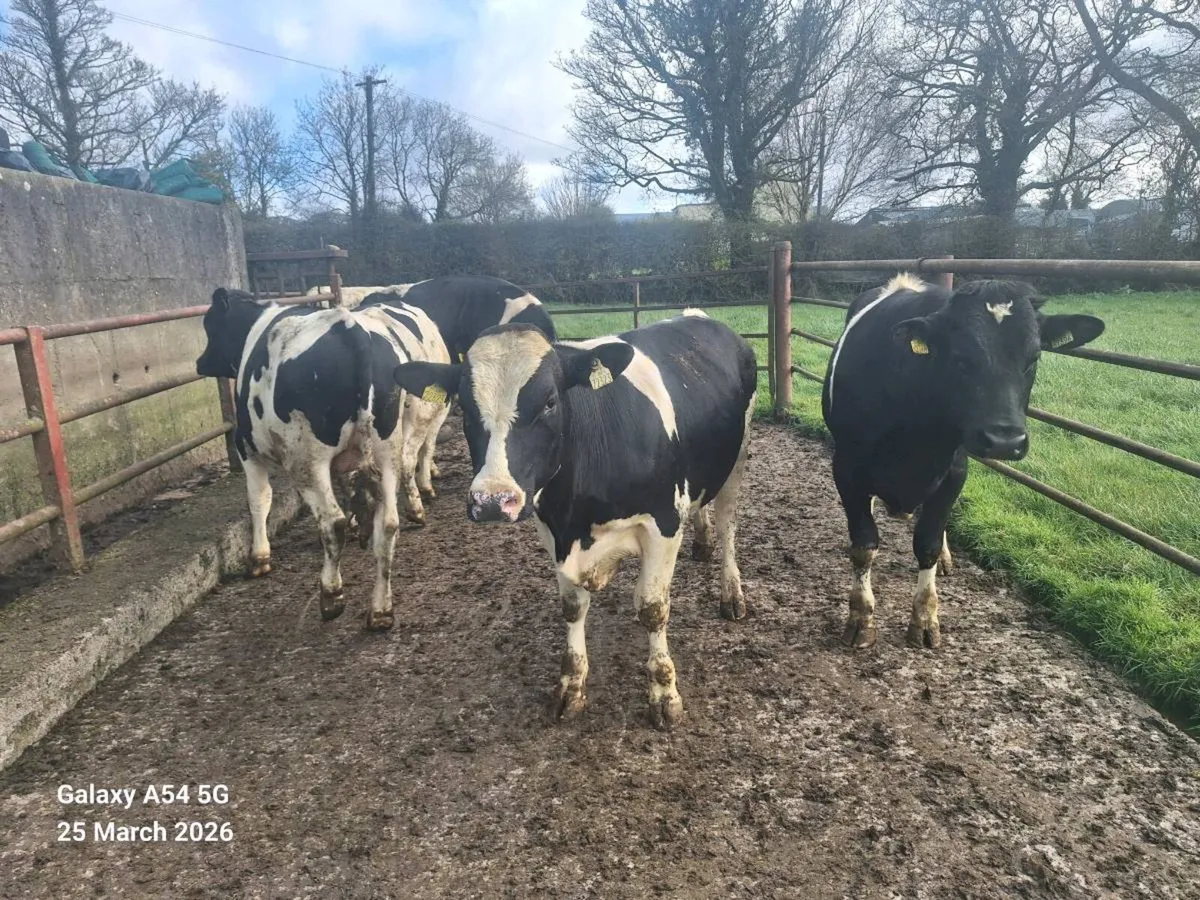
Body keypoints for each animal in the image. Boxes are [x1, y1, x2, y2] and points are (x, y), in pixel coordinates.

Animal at [194, 288, 451, 629]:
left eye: (210, 325)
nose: (200, 362)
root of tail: (351, 331)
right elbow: (348, 486)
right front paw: (360, 524)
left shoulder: (247, 449)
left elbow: (259, 500)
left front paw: (259, 558)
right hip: (387, 449)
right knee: (389, 522)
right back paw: (381, 609)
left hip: (308, 460)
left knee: (332, 522)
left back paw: (331, 595)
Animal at [392, 311, 758, 730]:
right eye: (465, 407)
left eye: (550, 401)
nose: (492, 501)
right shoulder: (552, 529)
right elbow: (572, 607)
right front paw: (571, 685)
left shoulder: (662, 524)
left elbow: (652, 609)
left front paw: (664, 694)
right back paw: (702, 541)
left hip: (737, 458)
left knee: (729, 525)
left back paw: (731, 593)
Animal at [821, 275, 1105, 650]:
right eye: (960, 359)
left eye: (1033, 358)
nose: (1005, 440)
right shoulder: (846, 468)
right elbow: (864, 544)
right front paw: (860, 619)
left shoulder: (955, 473)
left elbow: (926, 543)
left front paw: (925, 619)